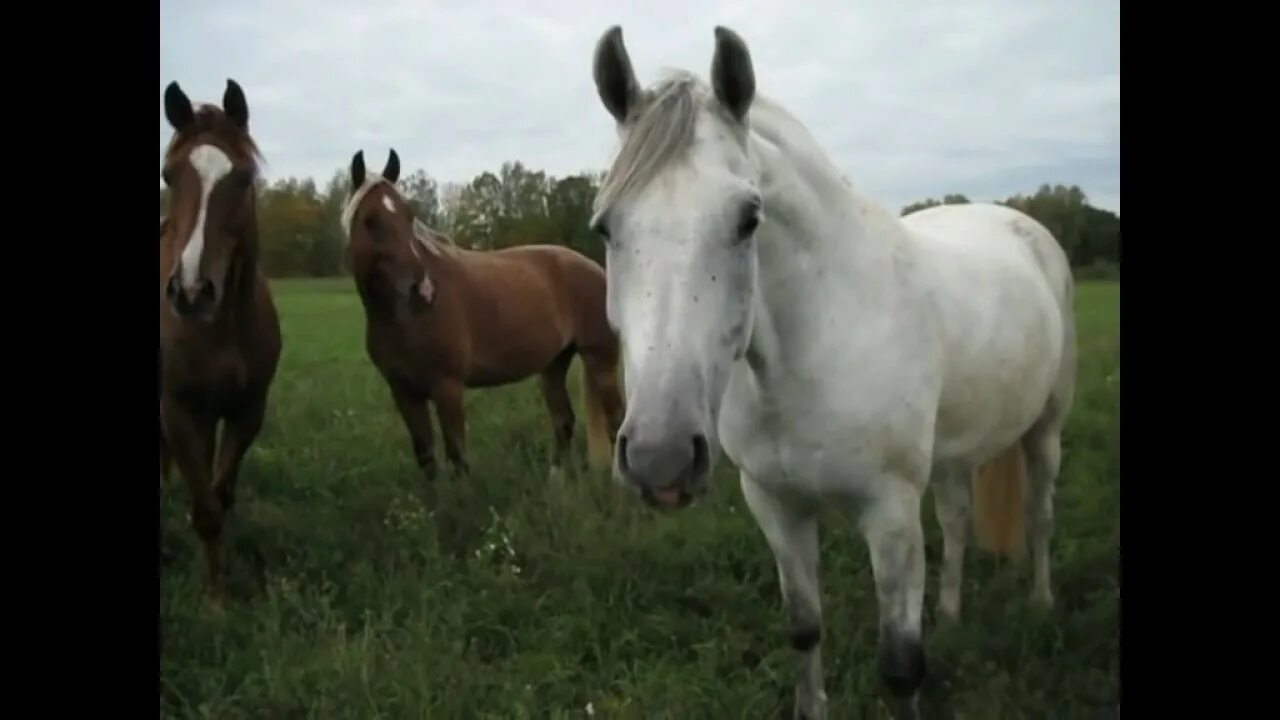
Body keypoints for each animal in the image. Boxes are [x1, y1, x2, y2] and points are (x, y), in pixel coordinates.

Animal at [337, 146, 622, 481]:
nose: (424, 290)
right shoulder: (404, 394)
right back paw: (557, 480)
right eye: (370, 220)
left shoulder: (447, 387)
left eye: (409, 217)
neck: (401, 318)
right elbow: (426, 457)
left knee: (615, 420)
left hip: (600, 359)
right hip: (554, 364)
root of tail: (595, 269)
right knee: (563, 419)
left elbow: (457, 456)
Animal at [593, 25, 1075, 712]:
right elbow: (804, 629)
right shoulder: (776, 506)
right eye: (605, 226)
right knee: (958, 520)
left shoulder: (891, 514)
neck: (811, 353)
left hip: (1046, 428)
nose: (661, 459)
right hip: (955, 451)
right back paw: (952, 614)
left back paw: (1040, 604)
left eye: (748, 219)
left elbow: (900, 667)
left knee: (1039, 513)